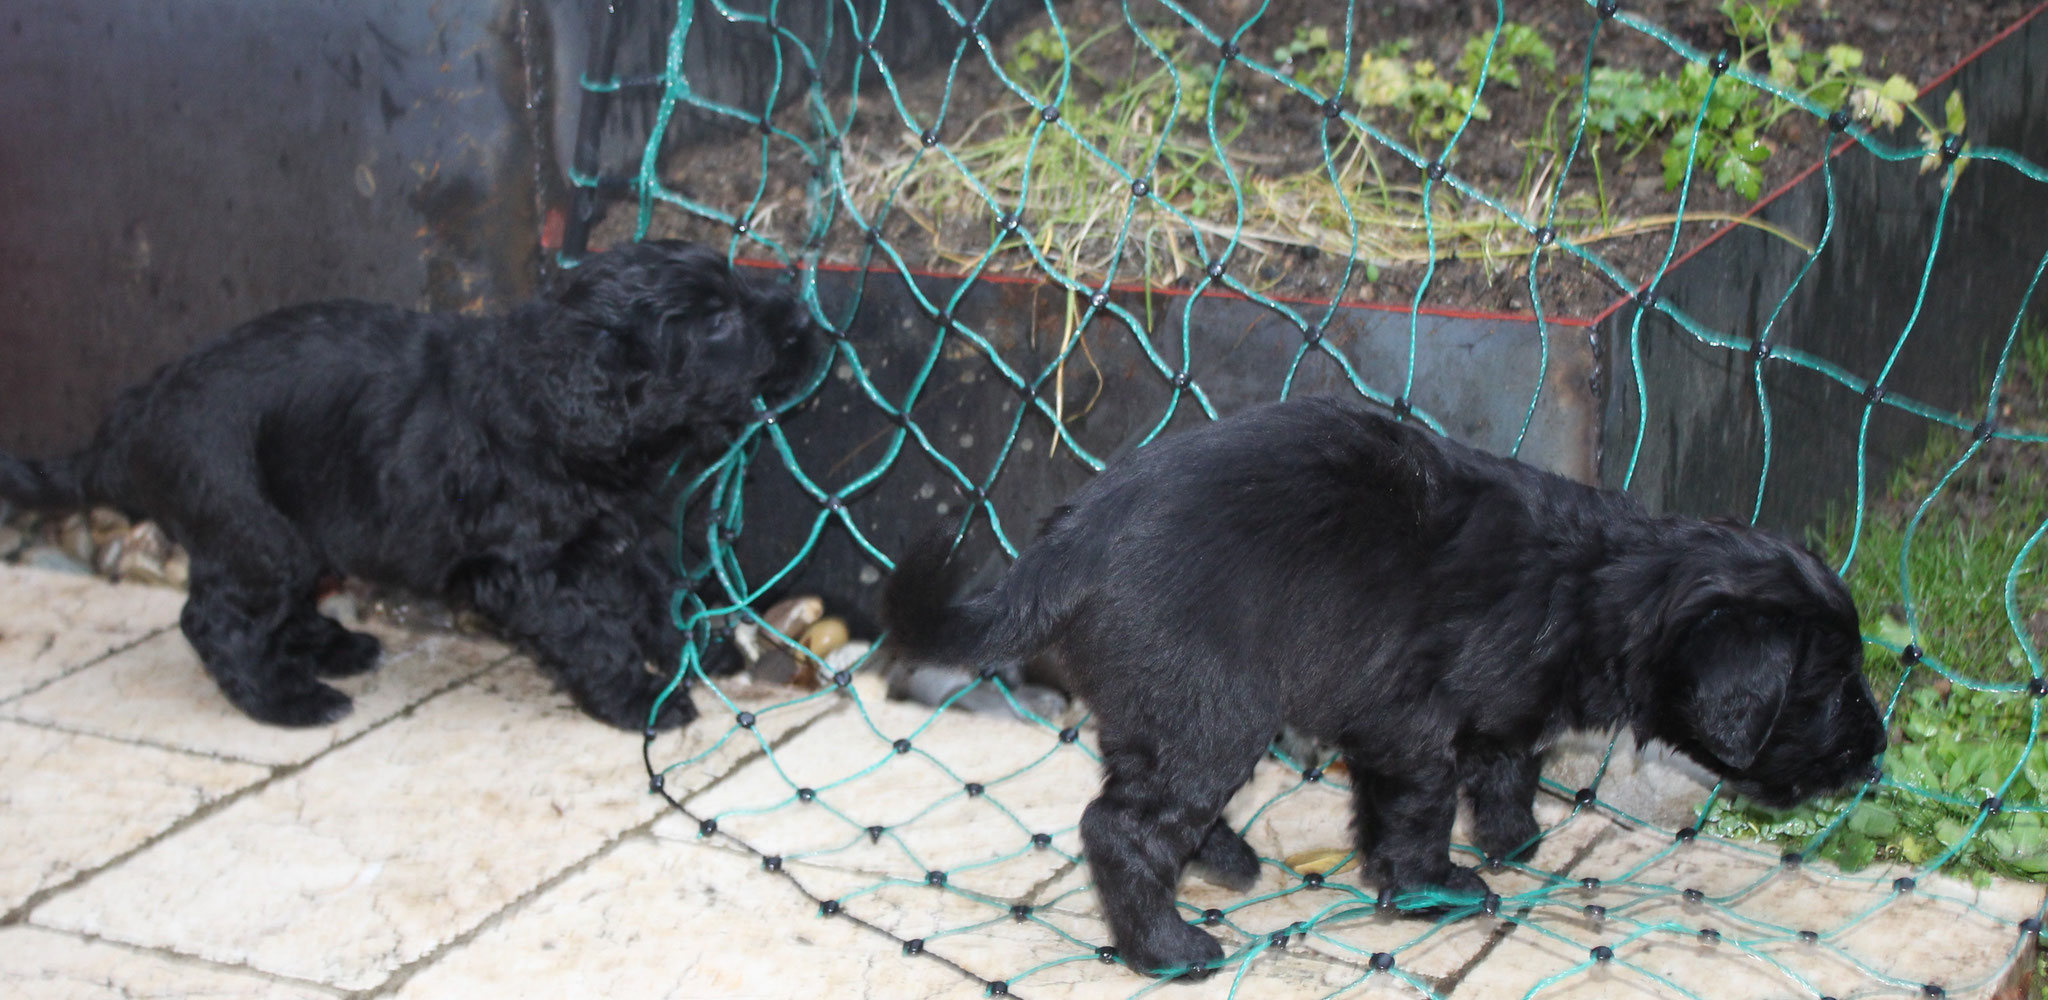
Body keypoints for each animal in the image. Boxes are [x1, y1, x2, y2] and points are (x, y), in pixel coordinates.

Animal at [0, 239, 815, 729]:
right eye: (716, 321)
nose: (805, 317)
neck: (553, 409)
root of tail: (132, 418)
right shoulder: (524, 571)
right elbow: (592, 632)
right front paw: (640, 698)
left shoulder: (619, 535)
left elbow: (661, 597)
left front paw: (703, 655)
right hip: (256, 531)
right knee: (213, 620)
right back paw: (289, 700)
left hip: (298, 532)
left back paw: (329, 648)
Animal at [880, 395, 1884, 975]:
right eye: (1833, 685)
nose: (1877, 756)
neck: (1603, 588)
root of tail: (1070, 539)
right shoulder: (1408, 726)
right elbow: (1420, 808)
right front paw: (1435, 888)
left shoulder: (1489, 716)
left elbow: (1506, 766)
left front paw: (1515, 841)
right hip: (1212, 709)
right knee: (1119, 825)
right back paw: (1164, 949)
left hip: (1161, 704)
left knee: (1141, 796)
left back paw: (1221, 859)